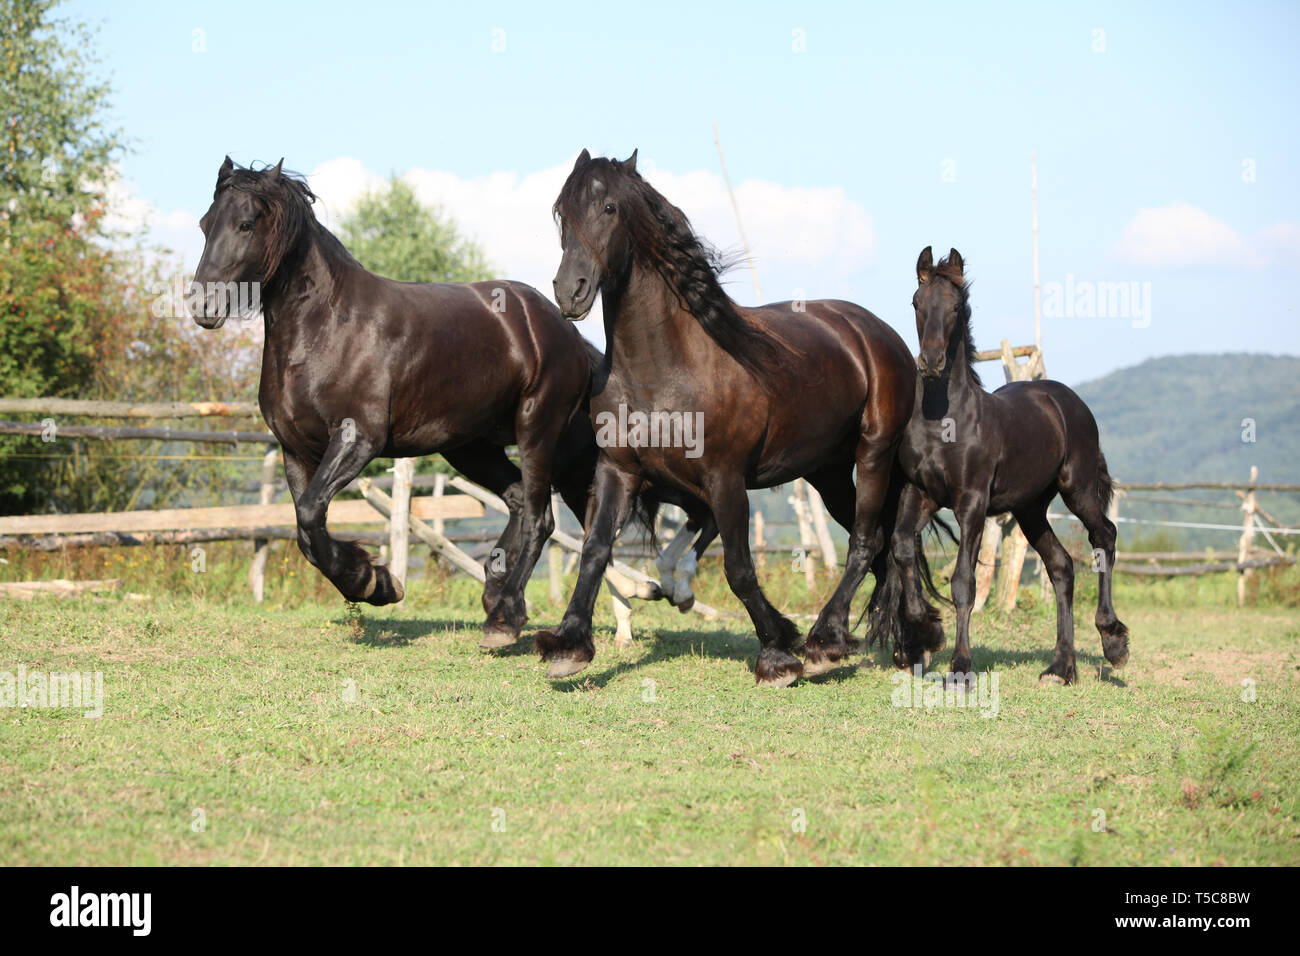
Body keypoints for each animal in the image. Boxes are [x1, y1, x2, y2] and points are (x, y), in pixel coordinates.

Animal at [190, 157, 710, 648]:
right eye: (204, 223)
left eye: (246, 223)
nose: (202, 306)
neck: (327, 328)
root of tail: (562, 327)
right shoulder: (295, 450)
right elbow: (306, 529)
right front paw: (377, 581)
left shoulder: (358, 439)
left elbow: (312, 515)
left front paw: (372, 581)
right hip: (471, 447)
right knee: (522, 503)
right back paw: (500, 593)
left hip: (536, 431)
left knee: (541, 518)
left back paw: (507, 617)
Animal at [538, 149, 917, 686]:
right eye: (561, 215)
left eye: (610, 208)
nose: (570, 291)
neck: (664, 368)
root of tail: (878, 332)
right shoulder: (618, 469)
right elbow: (594, 550)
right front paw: (568, 646)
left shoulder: (724, 479)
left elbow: (738, 568)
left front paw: (778, 654)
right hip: (826, 471)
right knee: (882, 548)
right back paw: (899, 642)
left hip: (873, 455)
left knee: (866, 542)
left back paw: (825, 642)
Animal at [883, 247, 1129, 684]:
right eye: (916, 302)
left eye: (956, 306)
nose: (930, 361)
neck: (945, 422)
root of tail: (1068, 402)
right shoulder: (920, 494)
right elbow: (902, 548)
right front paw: (927, 632)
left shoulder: (971, 502)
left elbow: (964, 582)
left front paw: (960, 667)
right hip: (1030, 508)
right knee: (1061, 566)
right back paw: (1060, 668)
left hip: (1078, 488)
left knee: (1104, 535)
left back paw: (1113, 642)